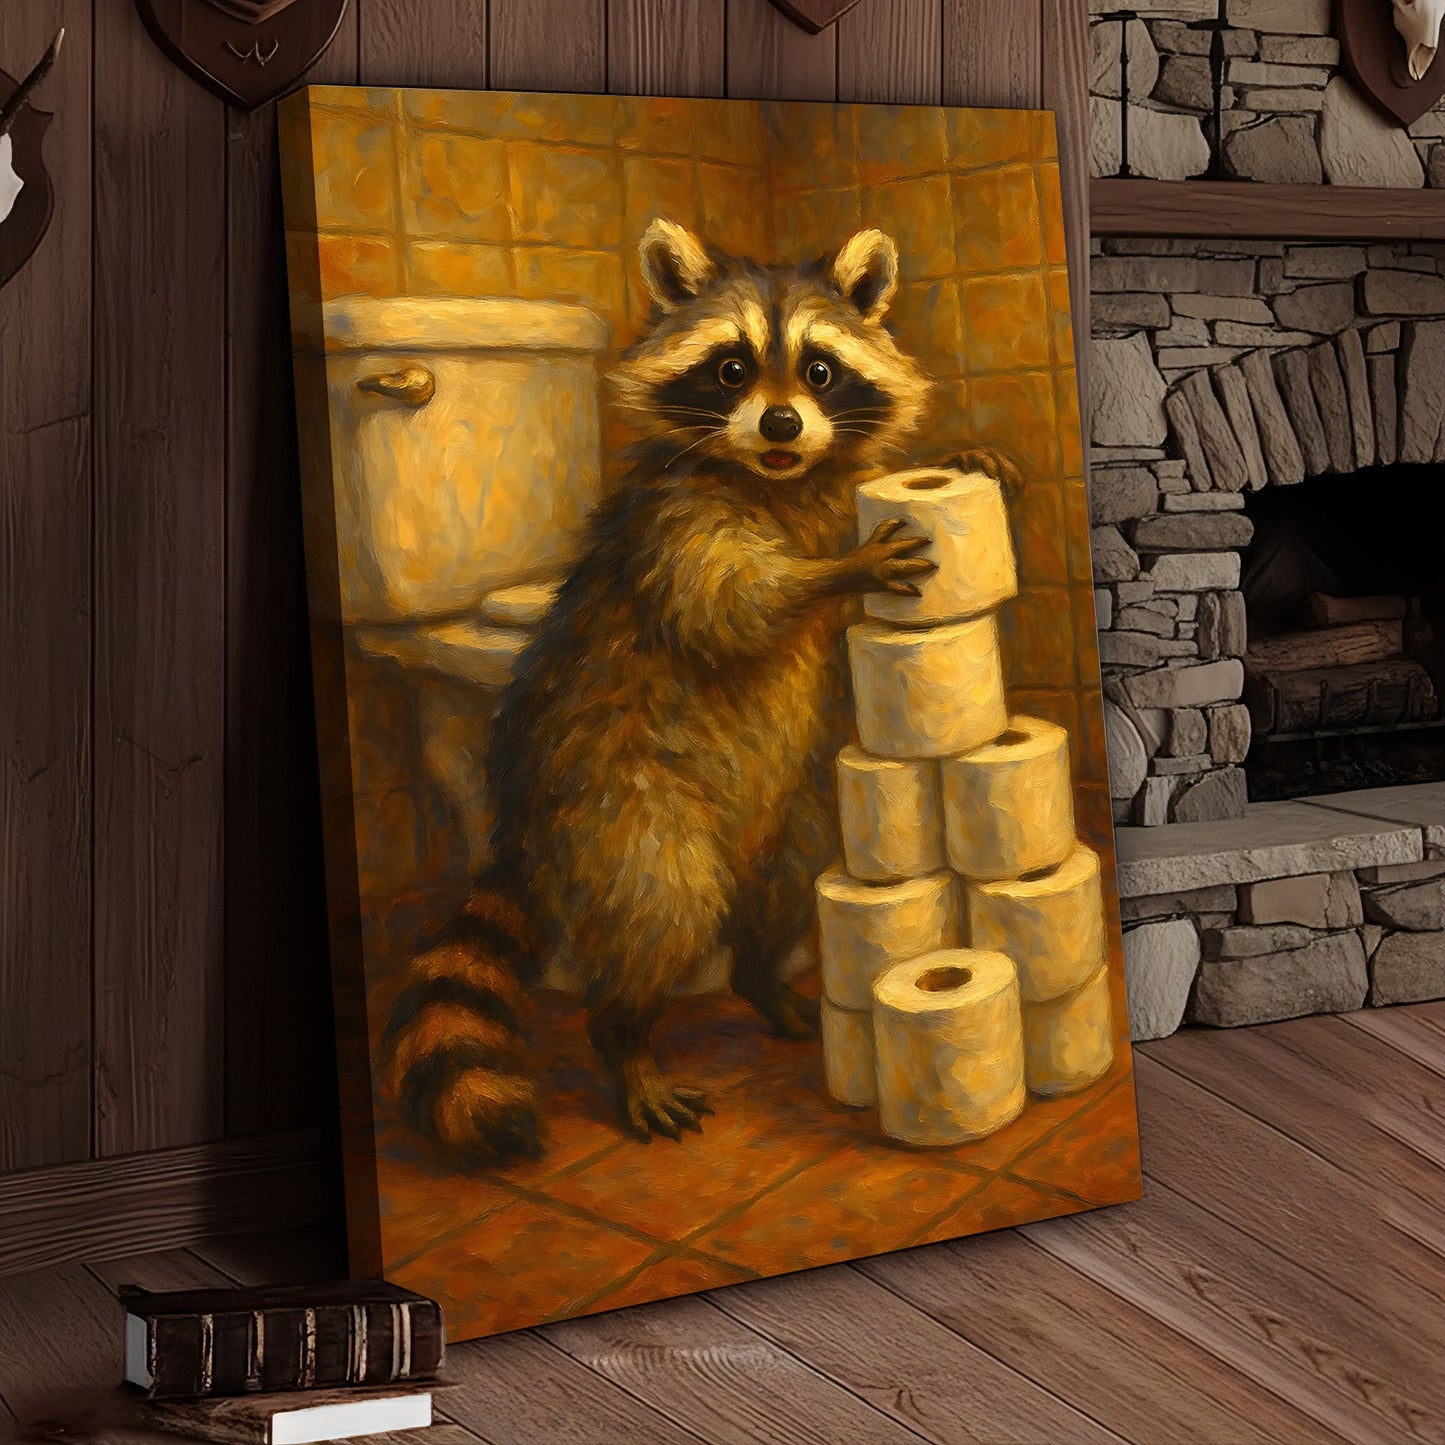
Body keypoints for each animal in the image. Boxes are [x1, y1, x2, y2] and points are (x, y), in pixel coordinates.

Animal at [384, 219, 1009, 1160]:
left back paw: (759, 975)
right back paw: (627, 1039)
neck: (778, 477)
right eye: (731, 369)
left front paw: (955, 458)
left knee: (788, 879)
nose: (781, 420)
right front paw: (834, 570)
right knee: (659, 908)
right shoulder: (674, 526)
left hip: (794, 806)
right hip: (619, 804)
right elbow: (729, 606)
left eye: (818, 370)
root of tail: (521, 818)